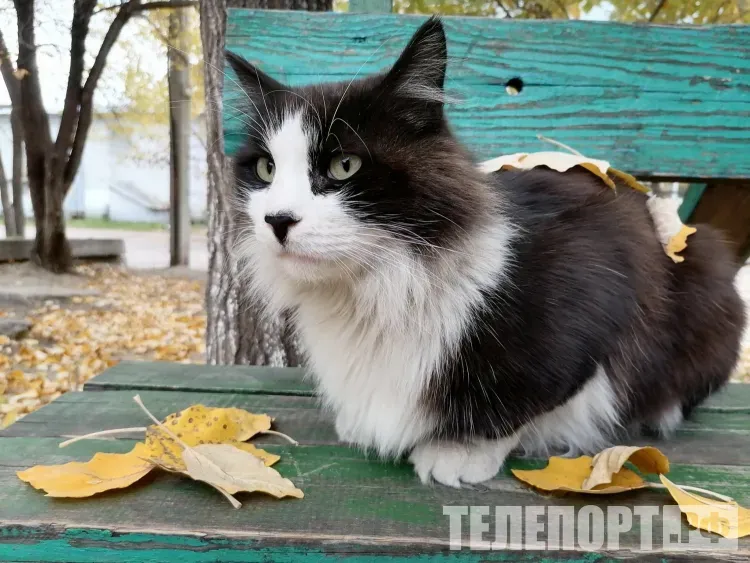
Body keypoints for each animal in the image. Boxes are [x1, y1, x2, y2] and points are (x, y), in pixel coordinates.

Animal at [226, 17, 748, 490]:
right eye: (266, 169)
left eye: (344, 166)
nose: (277, 220)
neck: (374, 287)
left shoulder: (596, 287)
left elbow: (522, 400)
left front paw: (460, 452)